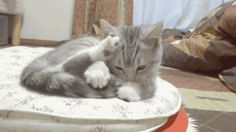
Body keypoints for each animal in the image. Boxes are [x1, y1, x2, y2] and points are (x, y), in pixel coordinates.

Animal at [20, 19, 162, 101]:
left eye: (141, 67)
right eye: (119, 67)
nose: (128, 80)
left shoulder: (153, 75)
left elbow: (149, 88)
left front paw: (131, 90)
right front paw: (98, 72)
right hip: (86, 43)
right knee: (67, 64)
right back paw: (103, 49)